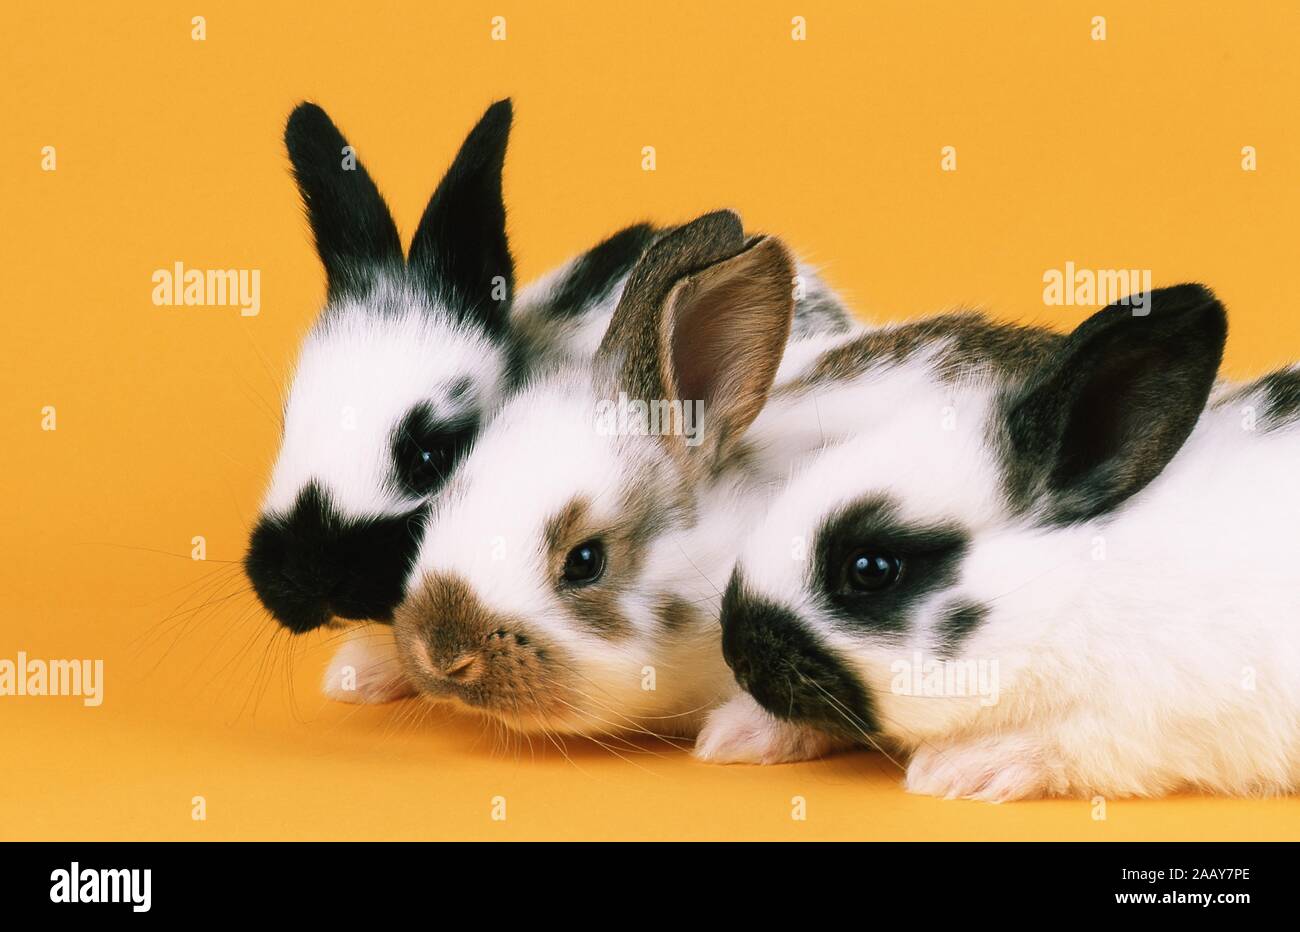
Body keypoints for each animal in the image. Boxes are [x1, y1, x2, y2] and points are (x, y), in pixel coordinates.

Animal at [707, 284, 1300, 801]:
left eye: (871, 568)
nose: (737, 655)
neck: (1075, 590)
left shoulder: (1149, 714)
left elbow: (1071, 742)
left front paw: (963, 767)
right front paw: (738, 733)